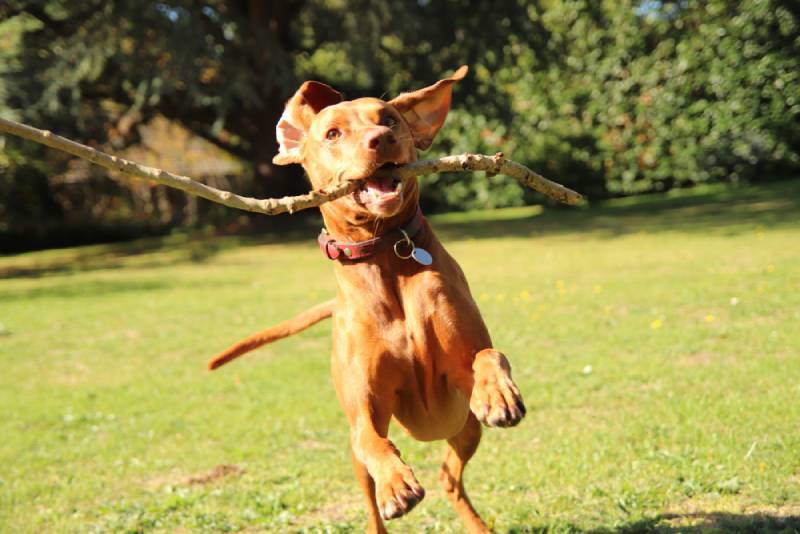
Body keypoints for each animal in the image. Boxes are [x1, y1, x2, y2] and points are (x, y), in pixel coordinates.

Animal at [209, 67, 528, 534]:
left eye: (389, 119)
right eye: (333, 133)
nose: (381, 138)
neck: (385, 254)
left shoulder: (457, 371)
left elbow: (489, 355)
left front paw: (498, 394)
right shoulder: (366, 411)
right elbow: (371, 439)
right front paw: (396, 484)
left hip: (465, 429)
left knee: (449, 477)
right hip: (361, 466)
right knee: (373, 497)